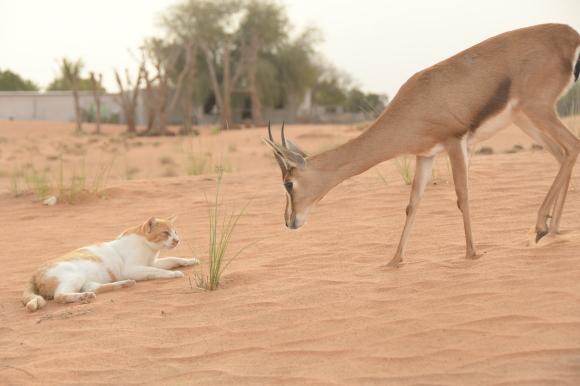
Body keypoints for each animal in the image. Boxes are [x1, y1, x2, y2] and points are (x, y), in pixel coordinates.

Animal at [22, 216, 199, 312]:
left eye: (175, 232)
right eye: (165, 233)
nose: (177, 240)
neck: (150, 249)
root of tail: (34, 273)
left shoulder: (154, 262)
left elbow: (173, 259)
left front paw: (189, 260)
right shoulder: (134, 269)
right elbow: (156, 271)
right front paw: (172, 274)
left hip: (87, 281)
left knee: (94, 288)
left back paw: (122, 284)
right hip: (75, 277)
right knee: (60, 296)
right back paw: (83, 297)